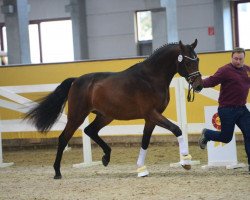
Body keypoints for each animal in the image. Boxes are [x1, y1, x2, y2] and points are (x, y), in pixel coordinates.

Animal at [24, 38, 203, 178]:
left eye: (198, 60)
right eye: (188, 62)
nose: (199, 85)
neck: (150, 78)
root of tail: (76, 81)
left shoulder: (151, 118)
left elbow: (145, 141)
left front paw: (141, 169)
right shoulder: (152, 114)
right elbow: (176, 129)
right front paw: (186, 161)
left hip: (105, 116)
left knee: (90, 130)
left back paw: (106, 158)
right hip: (77, 116)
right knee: (63, 138)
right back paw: (57, 172)